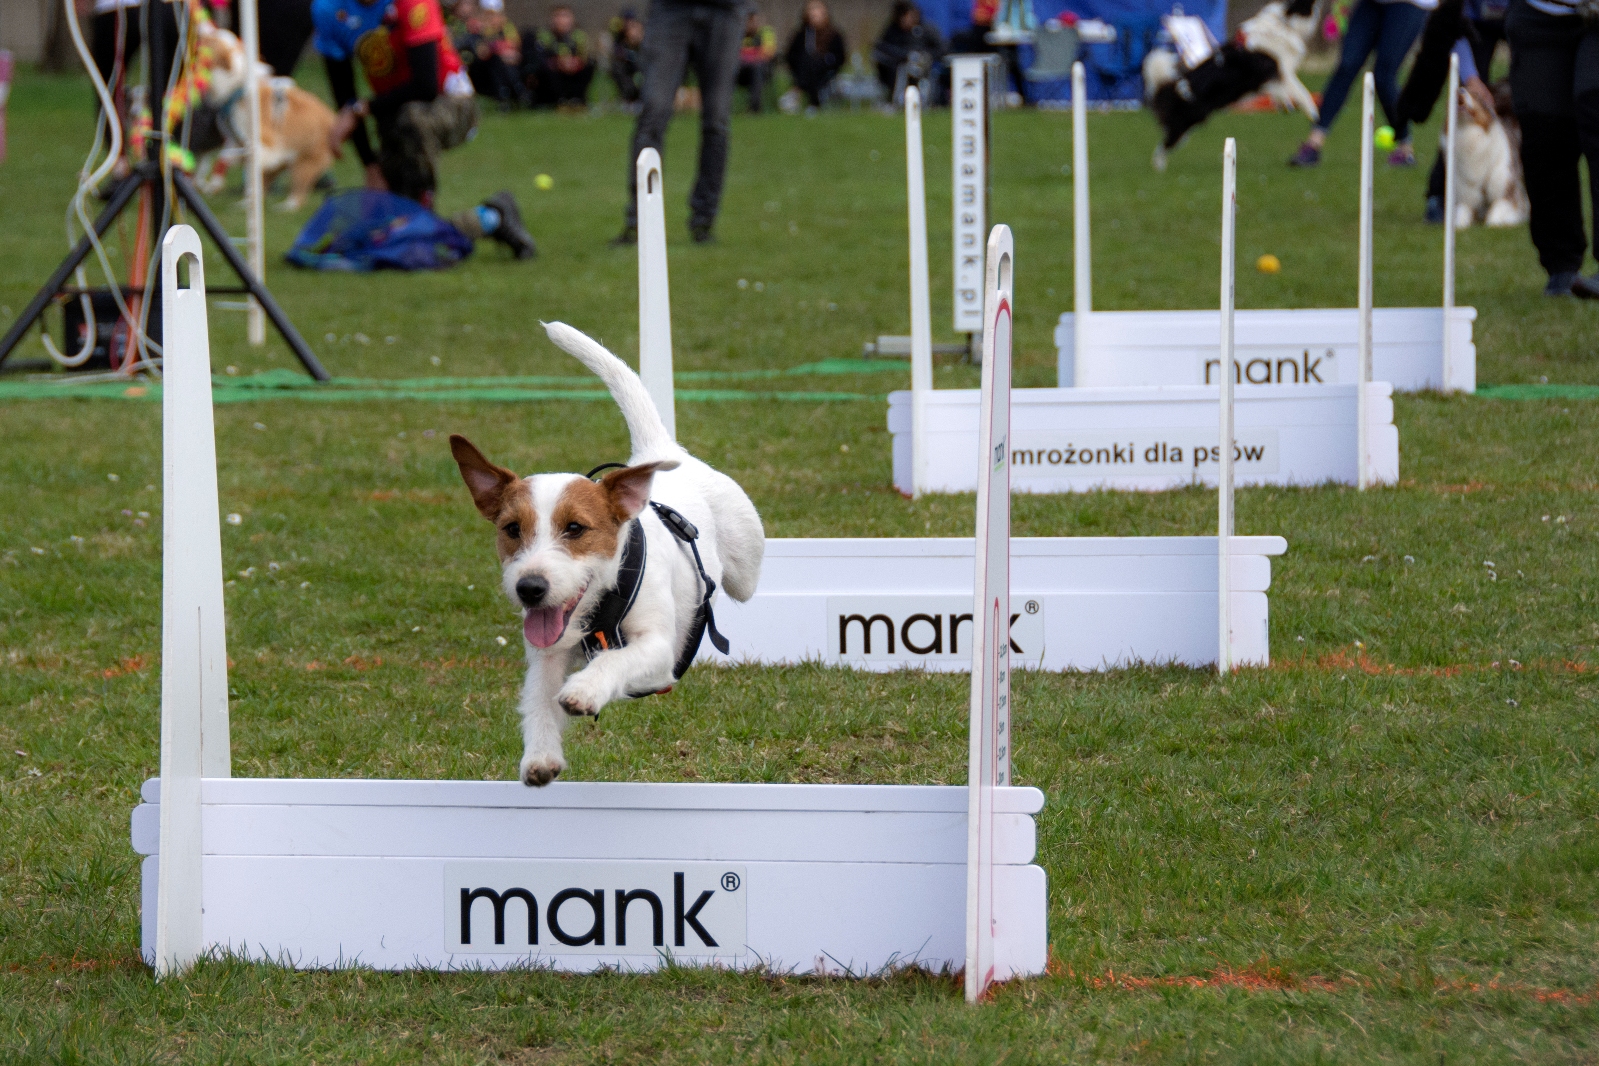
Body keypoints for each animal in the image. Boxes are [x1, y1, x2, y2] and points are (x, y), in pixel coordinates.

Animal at [198, 23, 338, 210]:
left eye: (211, 38)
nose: (201, 26)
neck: (236, 87)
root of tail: (334, 118)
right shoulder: (238, 140)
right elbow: (226, 159)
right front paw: (214, 184)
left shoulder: (263, 141)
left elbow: (252, 164)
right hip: (285, 163)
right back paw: (245, 204)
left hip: (304, 163)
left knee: (298, 194)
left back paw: (285, 207)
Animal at [447, 321, 764, 789]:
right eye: (511, 530)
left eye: (576, 528)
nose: (529, 588)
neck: (599, 604)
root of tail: (661, 453)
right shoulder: (547, 654)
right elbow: (539, 698)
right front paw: (540, 756)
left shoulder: (660, 652)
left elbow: (618, 658)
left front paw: (584, 690)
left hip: (745, 569)